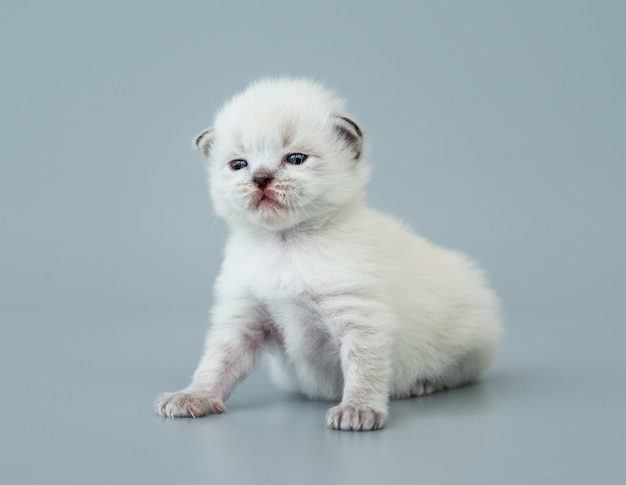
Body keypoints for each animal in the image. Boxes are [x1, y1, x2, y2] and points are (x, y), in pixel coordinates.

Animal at [154, 77, 500, 430]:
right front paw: (193, 396)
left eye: (295, 159)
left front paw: (358, 410)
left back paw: (424, 384)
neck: (285, 243)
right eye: (239, 164)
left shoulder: (357, 314)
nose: (260, 178)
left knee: (461, 370)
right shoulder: (244, 319)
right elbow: (216, 362)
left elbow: (363, 367)